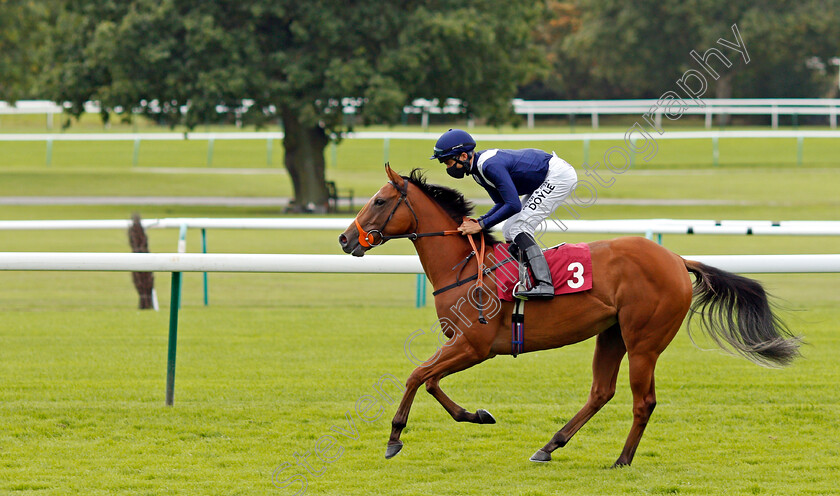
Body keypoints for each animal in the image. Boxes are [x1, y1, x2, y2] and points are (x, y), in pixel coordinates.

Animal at [336, 165, 800, 466]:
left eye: (379, 200)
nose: (344, 239)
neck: (463, 265)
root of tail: (675, 258)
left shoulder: (475, 345)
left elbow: (417, 375)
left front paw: (394, 436)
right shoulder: (462, 345)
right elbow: (430, 380)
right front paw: (477, 415)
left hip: (644, 341)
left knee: (643, 401)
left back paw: (622, 459)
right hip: (612, 334)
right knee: (601, 392)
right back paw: (549, 446)